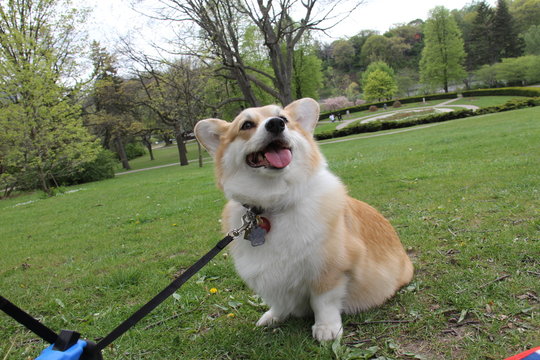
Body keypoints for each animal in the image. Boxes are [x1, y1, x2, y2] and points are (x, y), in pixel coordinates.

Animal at [194, 97, 414, 340]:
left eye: (284, 118)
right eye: (246, 125)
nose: (276, 124)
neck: (274, 203)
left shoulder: (328, 270)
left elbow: (323, 302)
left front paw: (326, 328)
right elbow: (278, 302)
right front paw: (274, 316)